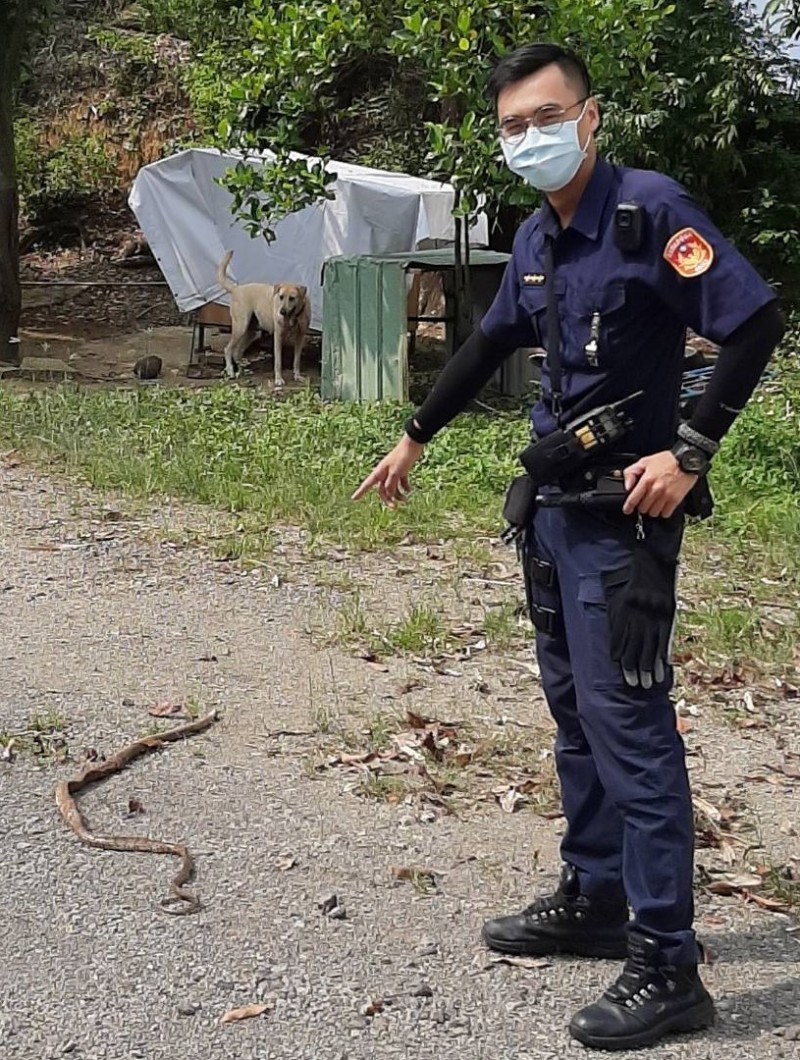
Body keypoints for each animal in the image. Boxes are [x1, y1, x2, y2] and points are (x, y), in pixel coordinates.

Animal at [216, 250, 309, 387]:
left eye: (292, 298)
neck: (294, 316)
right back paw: (230, 371)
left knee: (237, 353)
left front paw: (297, 376)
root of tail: (236, 288)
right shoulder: (278, 336)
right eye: (281, 297)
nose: (281, 312)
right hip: (240, 327)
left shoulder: (300, 337)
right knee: (228, 349)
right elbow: (278, 361)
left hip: (251, 332)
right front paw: (278, 379)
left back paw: (242, 372)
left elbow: (297, 360)